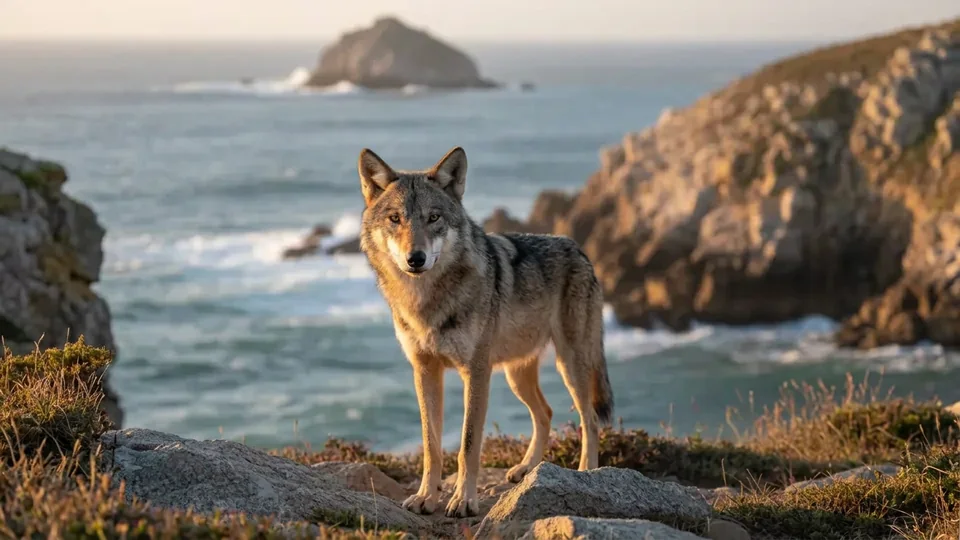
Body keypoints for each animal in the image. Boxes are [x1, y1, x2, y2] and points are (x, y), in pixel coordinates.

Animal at [357, 146, 614, 518]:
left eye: (434, 218)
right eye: (395, 219)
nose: (415, 258)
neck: (427, 302)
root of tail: (579, 249)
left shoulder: (476, 372)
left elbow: (467, 444)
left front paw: (463, 500)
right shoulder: (424, 371)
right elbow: (431, 445)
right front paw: (425, 497)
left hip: (570, 365)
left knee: (589, 420)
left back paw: (586, 474)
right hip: (515, 374)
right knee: (546, 413)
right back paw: (527, 469)